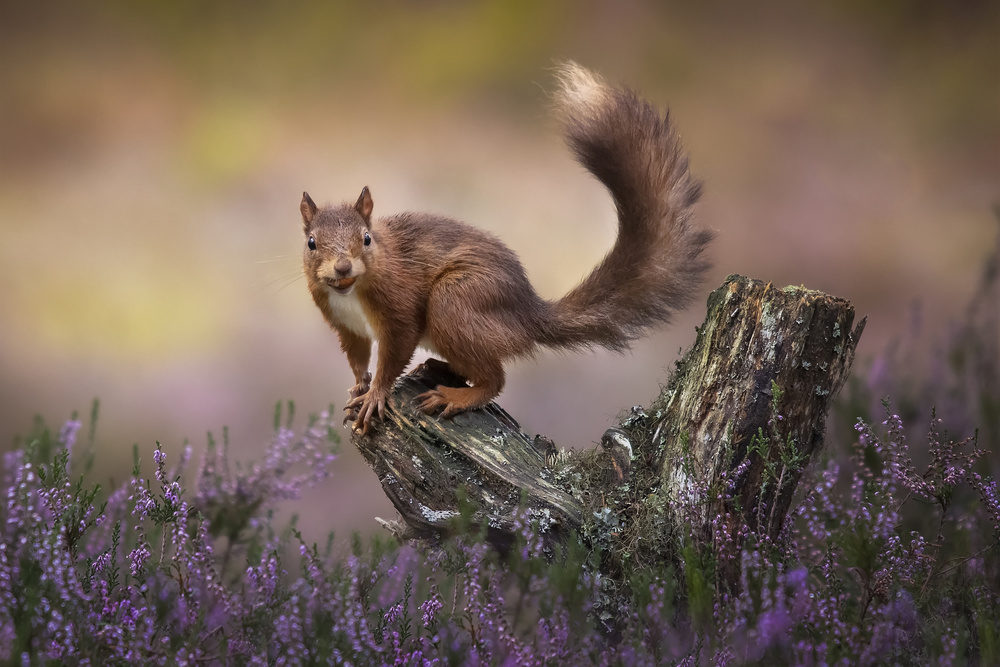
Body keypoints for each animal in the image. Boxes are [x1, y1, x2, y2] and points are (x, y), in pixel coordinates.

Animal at [300, 62, 713, 433]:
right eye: (311, 243)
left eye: (366, 239)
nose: (342, 268)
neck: (352, 293)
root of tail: (528, 315)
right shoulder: (345, 326)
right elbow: (357, 359)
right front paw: (358, 387)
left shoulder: (398, 306)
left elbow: (395, 351)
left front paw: (375, 395)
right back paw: (437, 367)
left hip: (456, 301)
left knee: (495, 378)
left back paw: (456, 395)